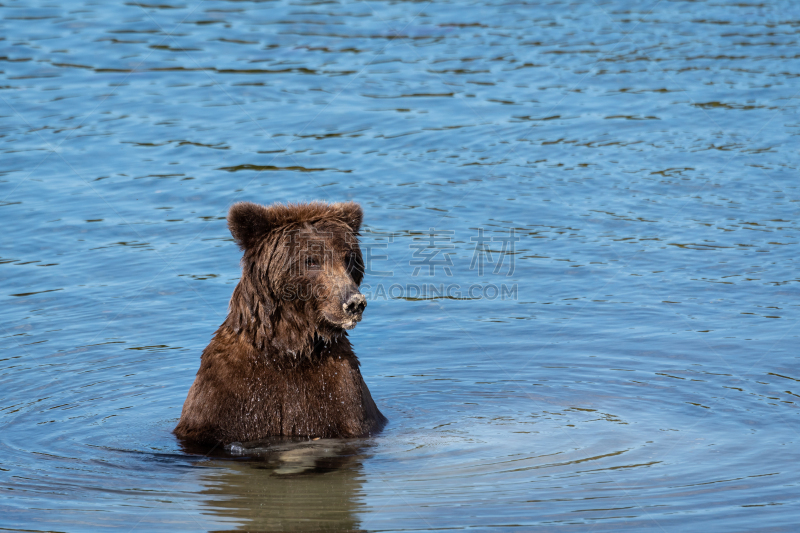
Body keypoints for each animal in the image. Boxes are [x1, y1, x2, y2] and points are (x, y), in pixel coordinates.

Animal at [174, 200, 388, 444]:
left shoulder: (341, 392)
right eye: (311, 260)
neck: (290, 349)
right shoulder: (227, 392)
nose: (354, 303)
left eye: (349, 258)